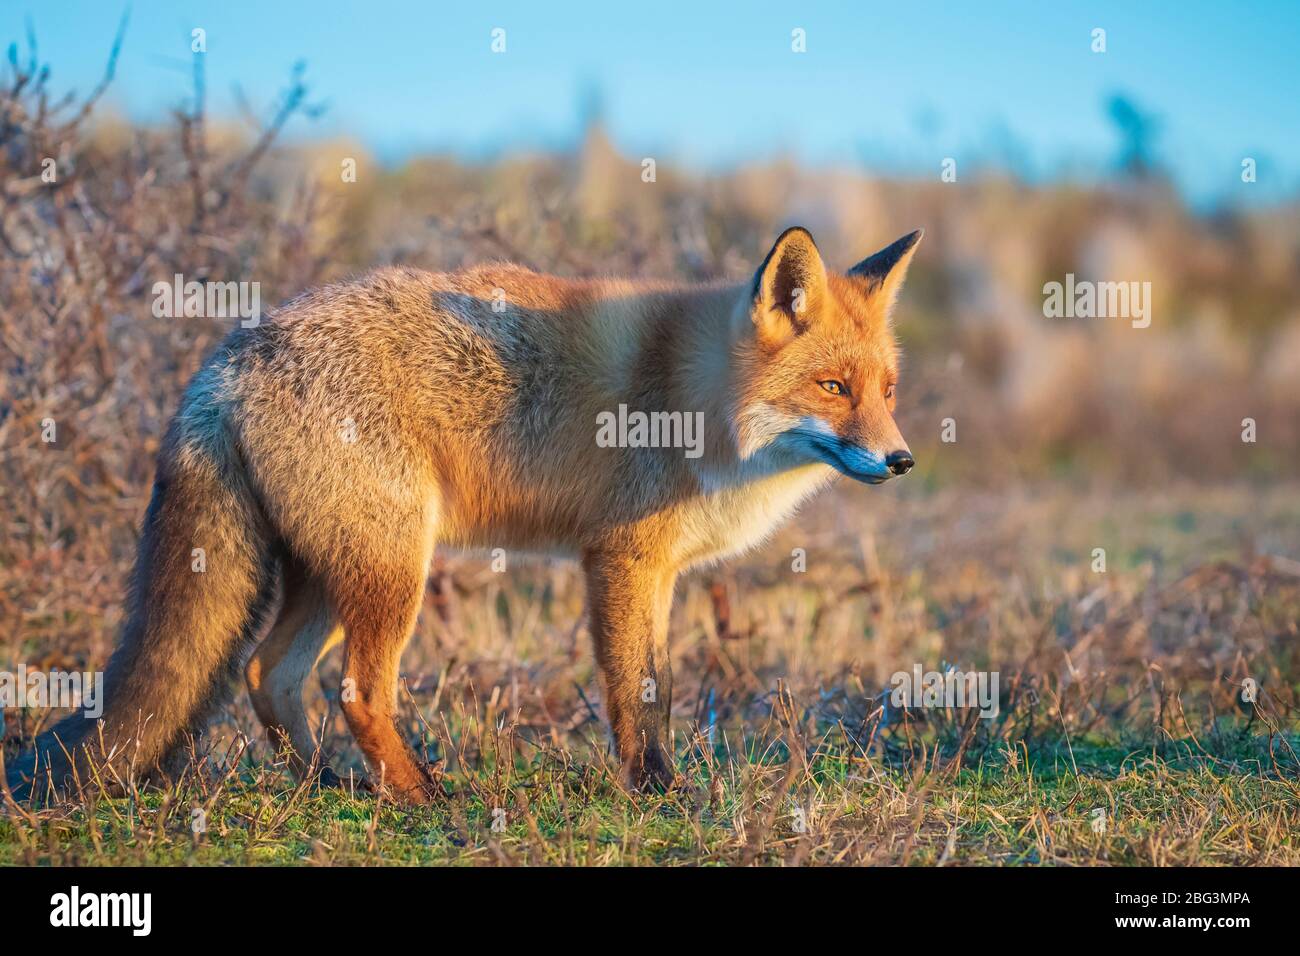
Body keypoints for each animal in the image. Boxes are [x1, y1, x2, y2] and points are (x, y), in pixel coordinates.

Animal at [7, 226, 921, 804]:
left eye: (886, 390)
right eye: (831, 387)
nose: (902, 460)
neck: (697, 397)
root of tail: (230, 358)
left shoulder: (657, 572)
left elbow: (656, 689)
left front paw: (659, 785)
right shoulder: (621, 560)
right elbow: (640, 693)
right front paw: (660, 794)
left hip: (332, 572)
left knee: (269, 673)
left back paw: (328, 788)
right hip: (391, 571)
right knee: (357, 691)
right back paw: (423, 798)